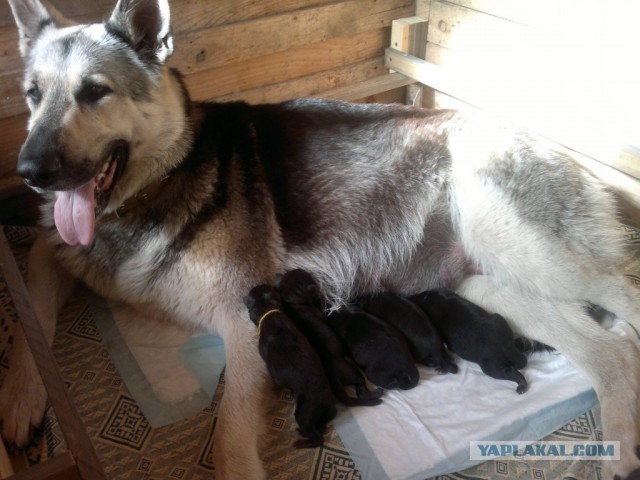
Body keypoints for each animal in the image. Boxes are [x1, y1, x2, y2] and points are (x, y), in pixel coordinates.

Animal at [244, 284, 338, 448]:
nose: (243, 296)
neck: (271, 312)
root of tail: (328, 402)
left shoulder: (272, 371)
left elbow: (275, 381)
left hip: (303, 412)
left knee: (317, 438)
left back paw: (299, 442)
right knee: (320, 428)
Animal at [276, 270, 384, 404]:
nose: (315, 280)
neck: (291, 300)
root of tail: (331, 376)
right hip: (353, 372)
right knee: (361, 391)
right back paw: (377, 393)